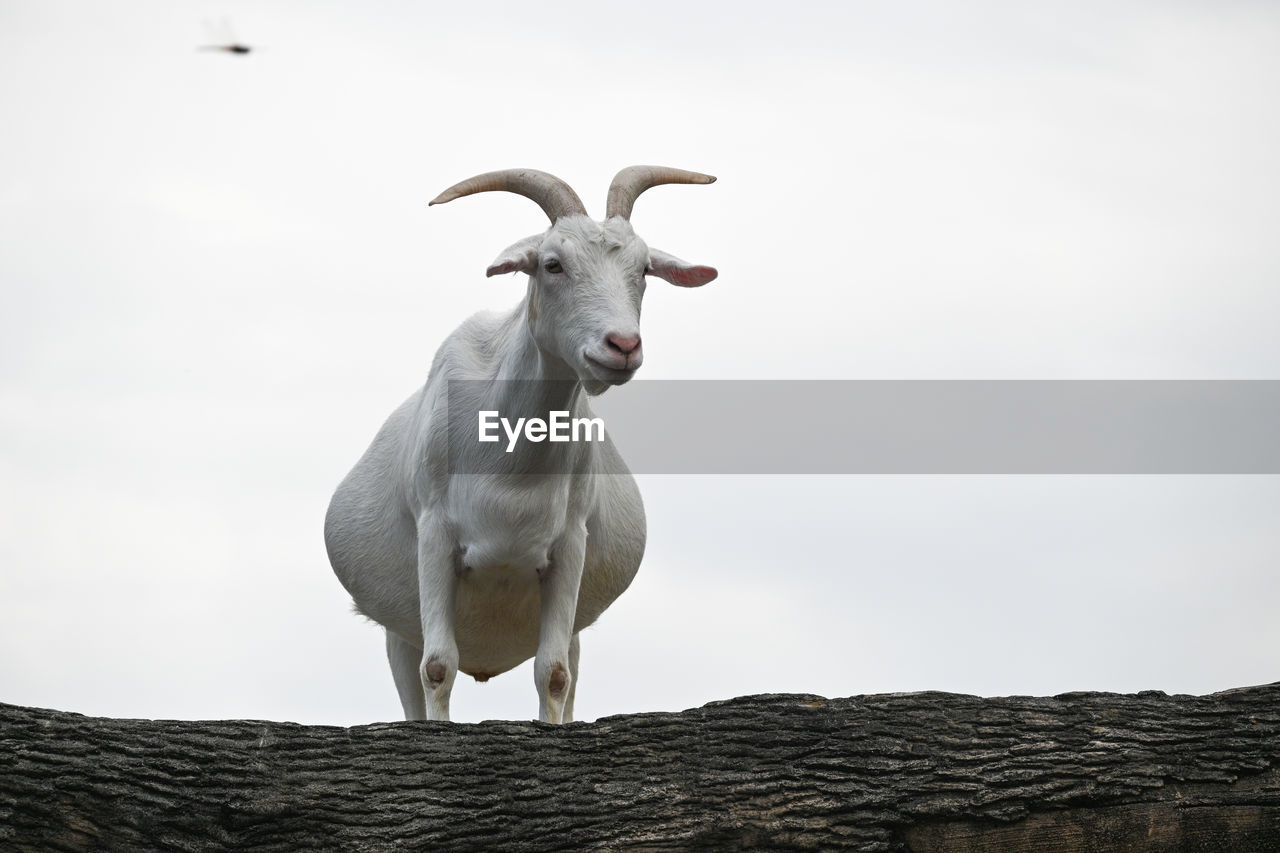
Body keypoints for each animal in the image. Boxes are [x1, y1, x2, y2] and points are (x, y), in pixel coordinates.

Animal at [325, 163, 716, 717]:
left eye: (643, 270)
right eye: (552, 264)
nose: (622, 346)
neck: (510, 470)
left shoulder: (569, 546)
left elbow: (553, 674)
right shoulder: (434, 535)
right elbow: (438, 667)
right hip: (398, 631)